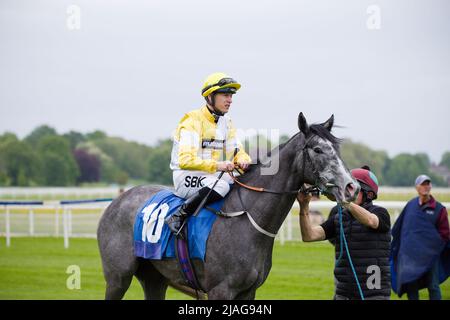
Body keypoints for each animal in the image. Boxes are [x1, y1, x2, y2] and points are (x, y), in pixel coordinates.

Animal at [97, 112, 358, 300]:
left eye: (337, 149)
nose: (351, 187)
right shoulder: (220, 290)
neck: (247, 220)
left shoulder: (248, 291)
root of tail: (116, 201)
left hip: (155, 278)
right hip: (117, 278)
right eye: (318, 149)